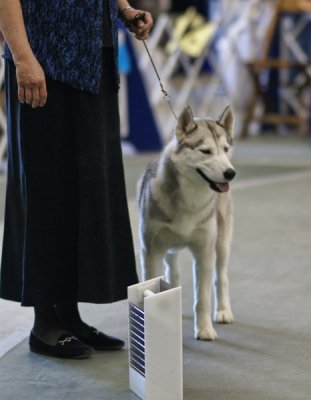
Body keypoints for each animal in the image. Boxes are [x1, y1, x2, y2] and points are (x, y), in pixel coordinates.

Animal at [137, 104, 236, 340]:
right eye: (206, 151)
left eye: (225, 149)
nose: (230, 173)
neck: (190, 201)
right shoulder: (151, 251)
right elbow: (153, 285)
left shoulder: (204, 253)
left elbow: (203, 298)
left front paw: (205, 329)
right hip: (169, 250)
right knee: (173, 273)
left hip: (221, 245)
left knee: (221, 278)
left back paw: (223, 311)